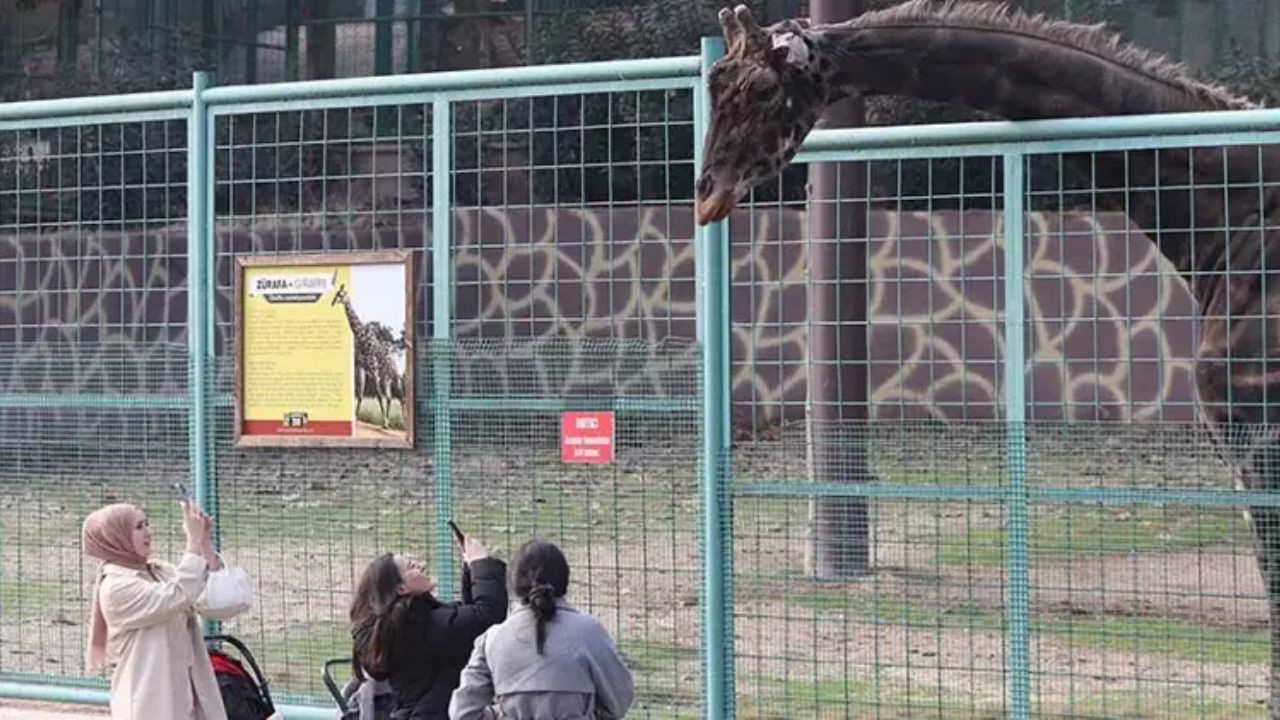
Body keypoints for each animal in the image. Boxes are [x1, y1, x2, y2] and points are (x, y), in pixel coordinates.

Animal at [330, 280, 394, 425]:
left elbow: (378, 395)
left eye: (341, 294)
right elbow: (359, 394)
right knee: (389, 396)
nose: (332, 302)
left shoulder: (373, 368)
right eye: (336, 294)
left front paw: (384, 421)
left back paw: (386, 422)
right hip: (384, 376)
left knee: (387, 396)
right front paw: (355, 417)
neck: (360, 335)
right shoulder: (360, 367)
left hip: (385, 375)